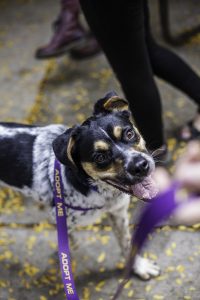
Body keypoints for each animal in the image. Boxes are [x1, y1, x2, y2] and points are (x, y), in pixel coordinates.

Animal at [0, 92, 159, 282]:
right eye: (100, 157)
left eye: (129, 133)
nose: (141, 166)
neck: (103, 194)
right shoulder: (59, 218)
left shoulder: (118, 213)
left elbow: (127, 244)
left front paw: (138, 266)